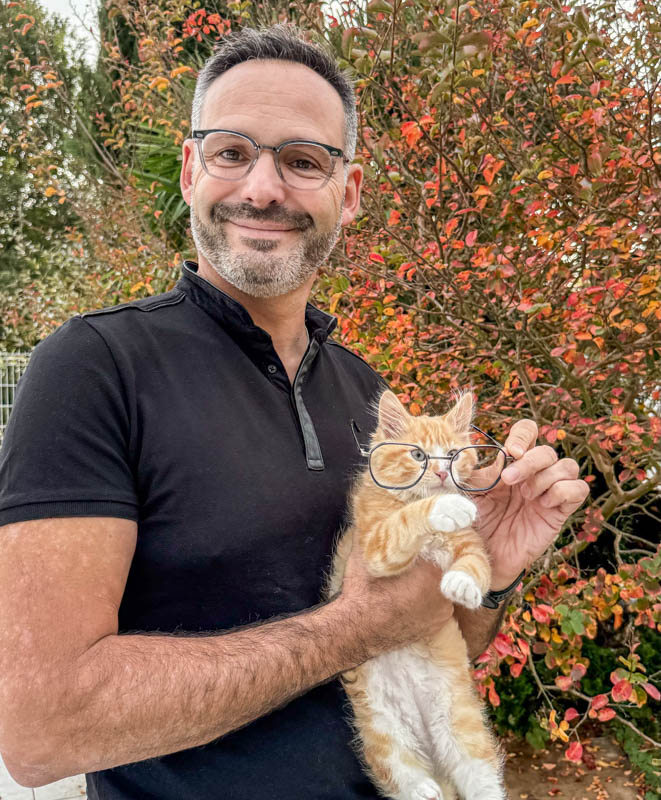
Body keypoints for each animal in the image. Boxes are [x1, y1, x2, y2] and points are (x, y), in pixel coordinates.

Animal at [330, 392, 506, 800]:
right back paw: (422, 788)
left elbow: (477, 565)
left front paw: (463, 584)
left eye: (453, 455)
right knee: (398, 770)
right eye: (418, 455)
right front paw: (444, 506)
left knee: (481, 776)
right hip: (382, 727)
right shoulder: (375, 545)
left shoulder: (471, 544)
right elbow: (408, 518)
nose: (442, 474)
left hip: (461, 724)